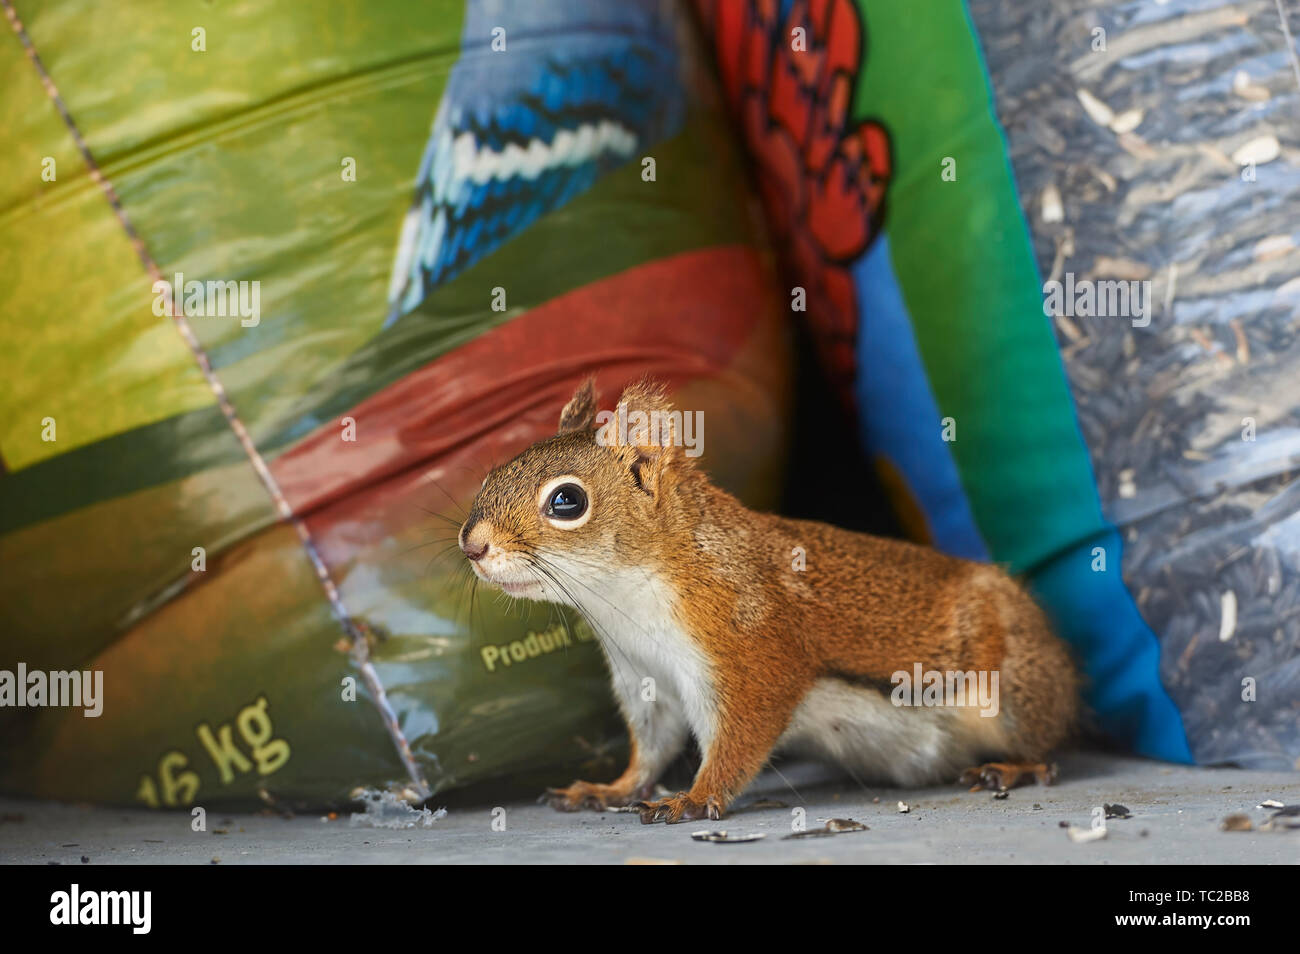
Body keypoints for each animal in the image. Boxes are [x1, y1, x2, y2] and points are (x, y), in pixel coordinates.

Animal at [457, 376, 1076, 826]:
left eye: (567, 501)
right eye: (492, 472)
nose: (471, 544)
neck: (623, 598)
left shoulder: (749, 652)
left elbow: (737, 741)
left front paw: (691, 799)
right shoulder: (646, 680)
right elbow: (651, 750)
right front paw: (608, 789)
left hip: (1015, 692)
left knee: (1048, 746)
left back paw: (1013, 768)